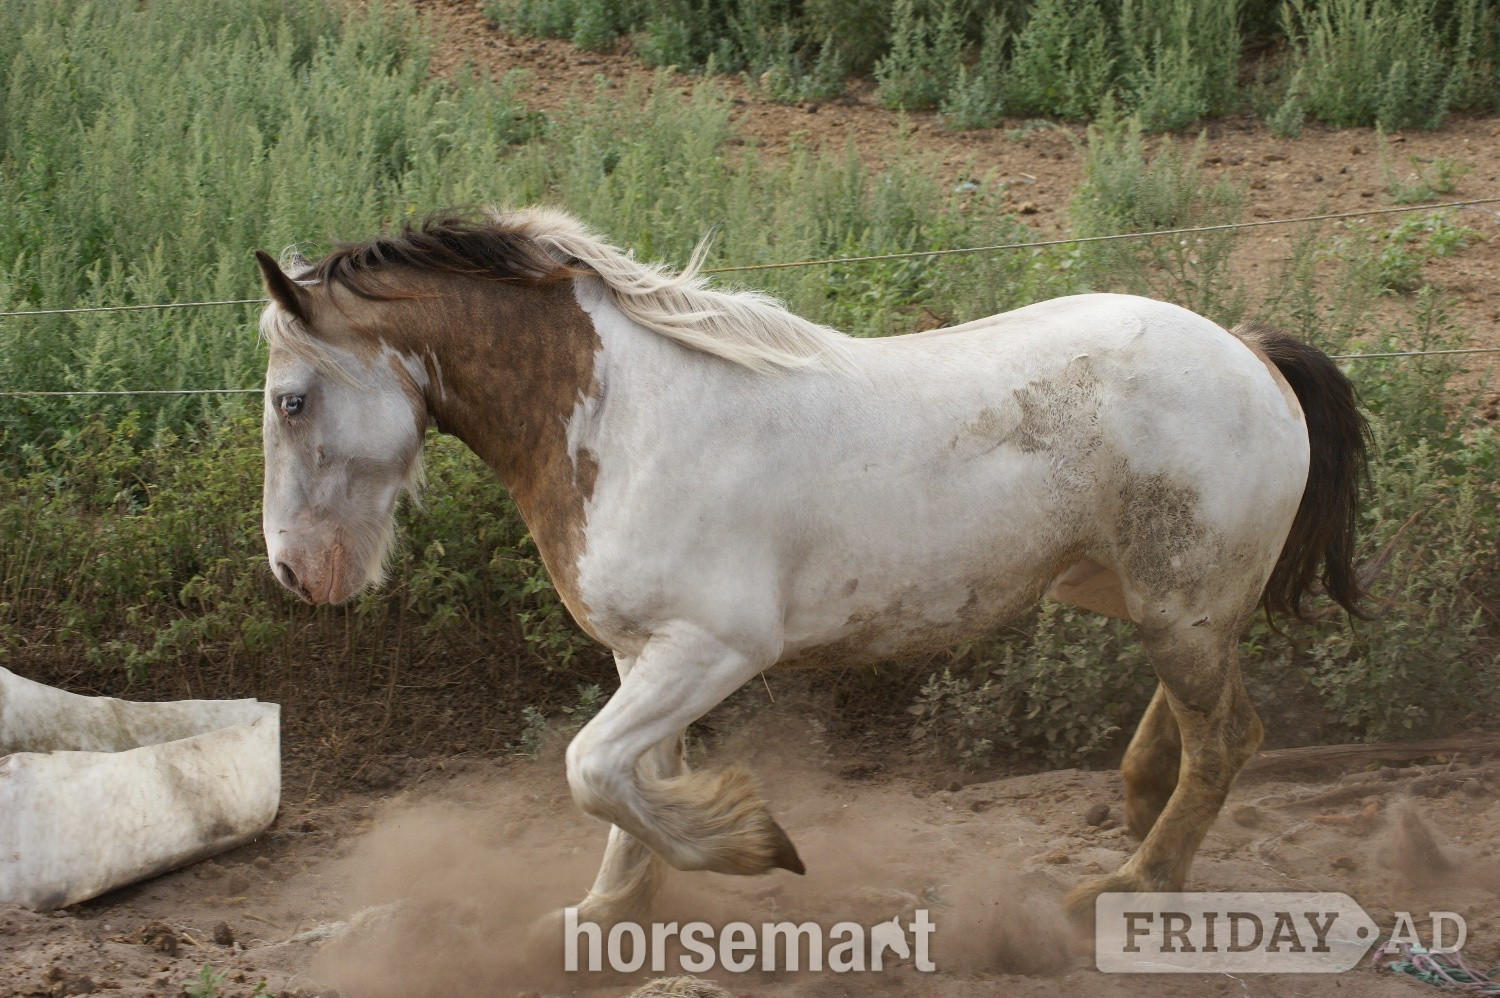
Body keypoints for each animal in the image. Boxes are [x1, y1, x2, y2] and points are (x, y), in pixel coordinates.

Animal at [254, 208, 1368, 926]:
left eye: (290, 400)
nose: (294, 573)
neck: (624, 420)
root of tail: (1250, 352)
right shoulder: (642, 656)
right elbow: (628, 781)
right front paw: (609, 913)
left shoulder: (713, 649)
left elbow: (593, 768)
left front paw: (752, 844)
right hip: (1148, 596)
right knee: (1191, 721)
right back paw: (1141, 820)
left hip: (1180, 601)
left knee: (1227, 737)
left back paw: (1134, 884)